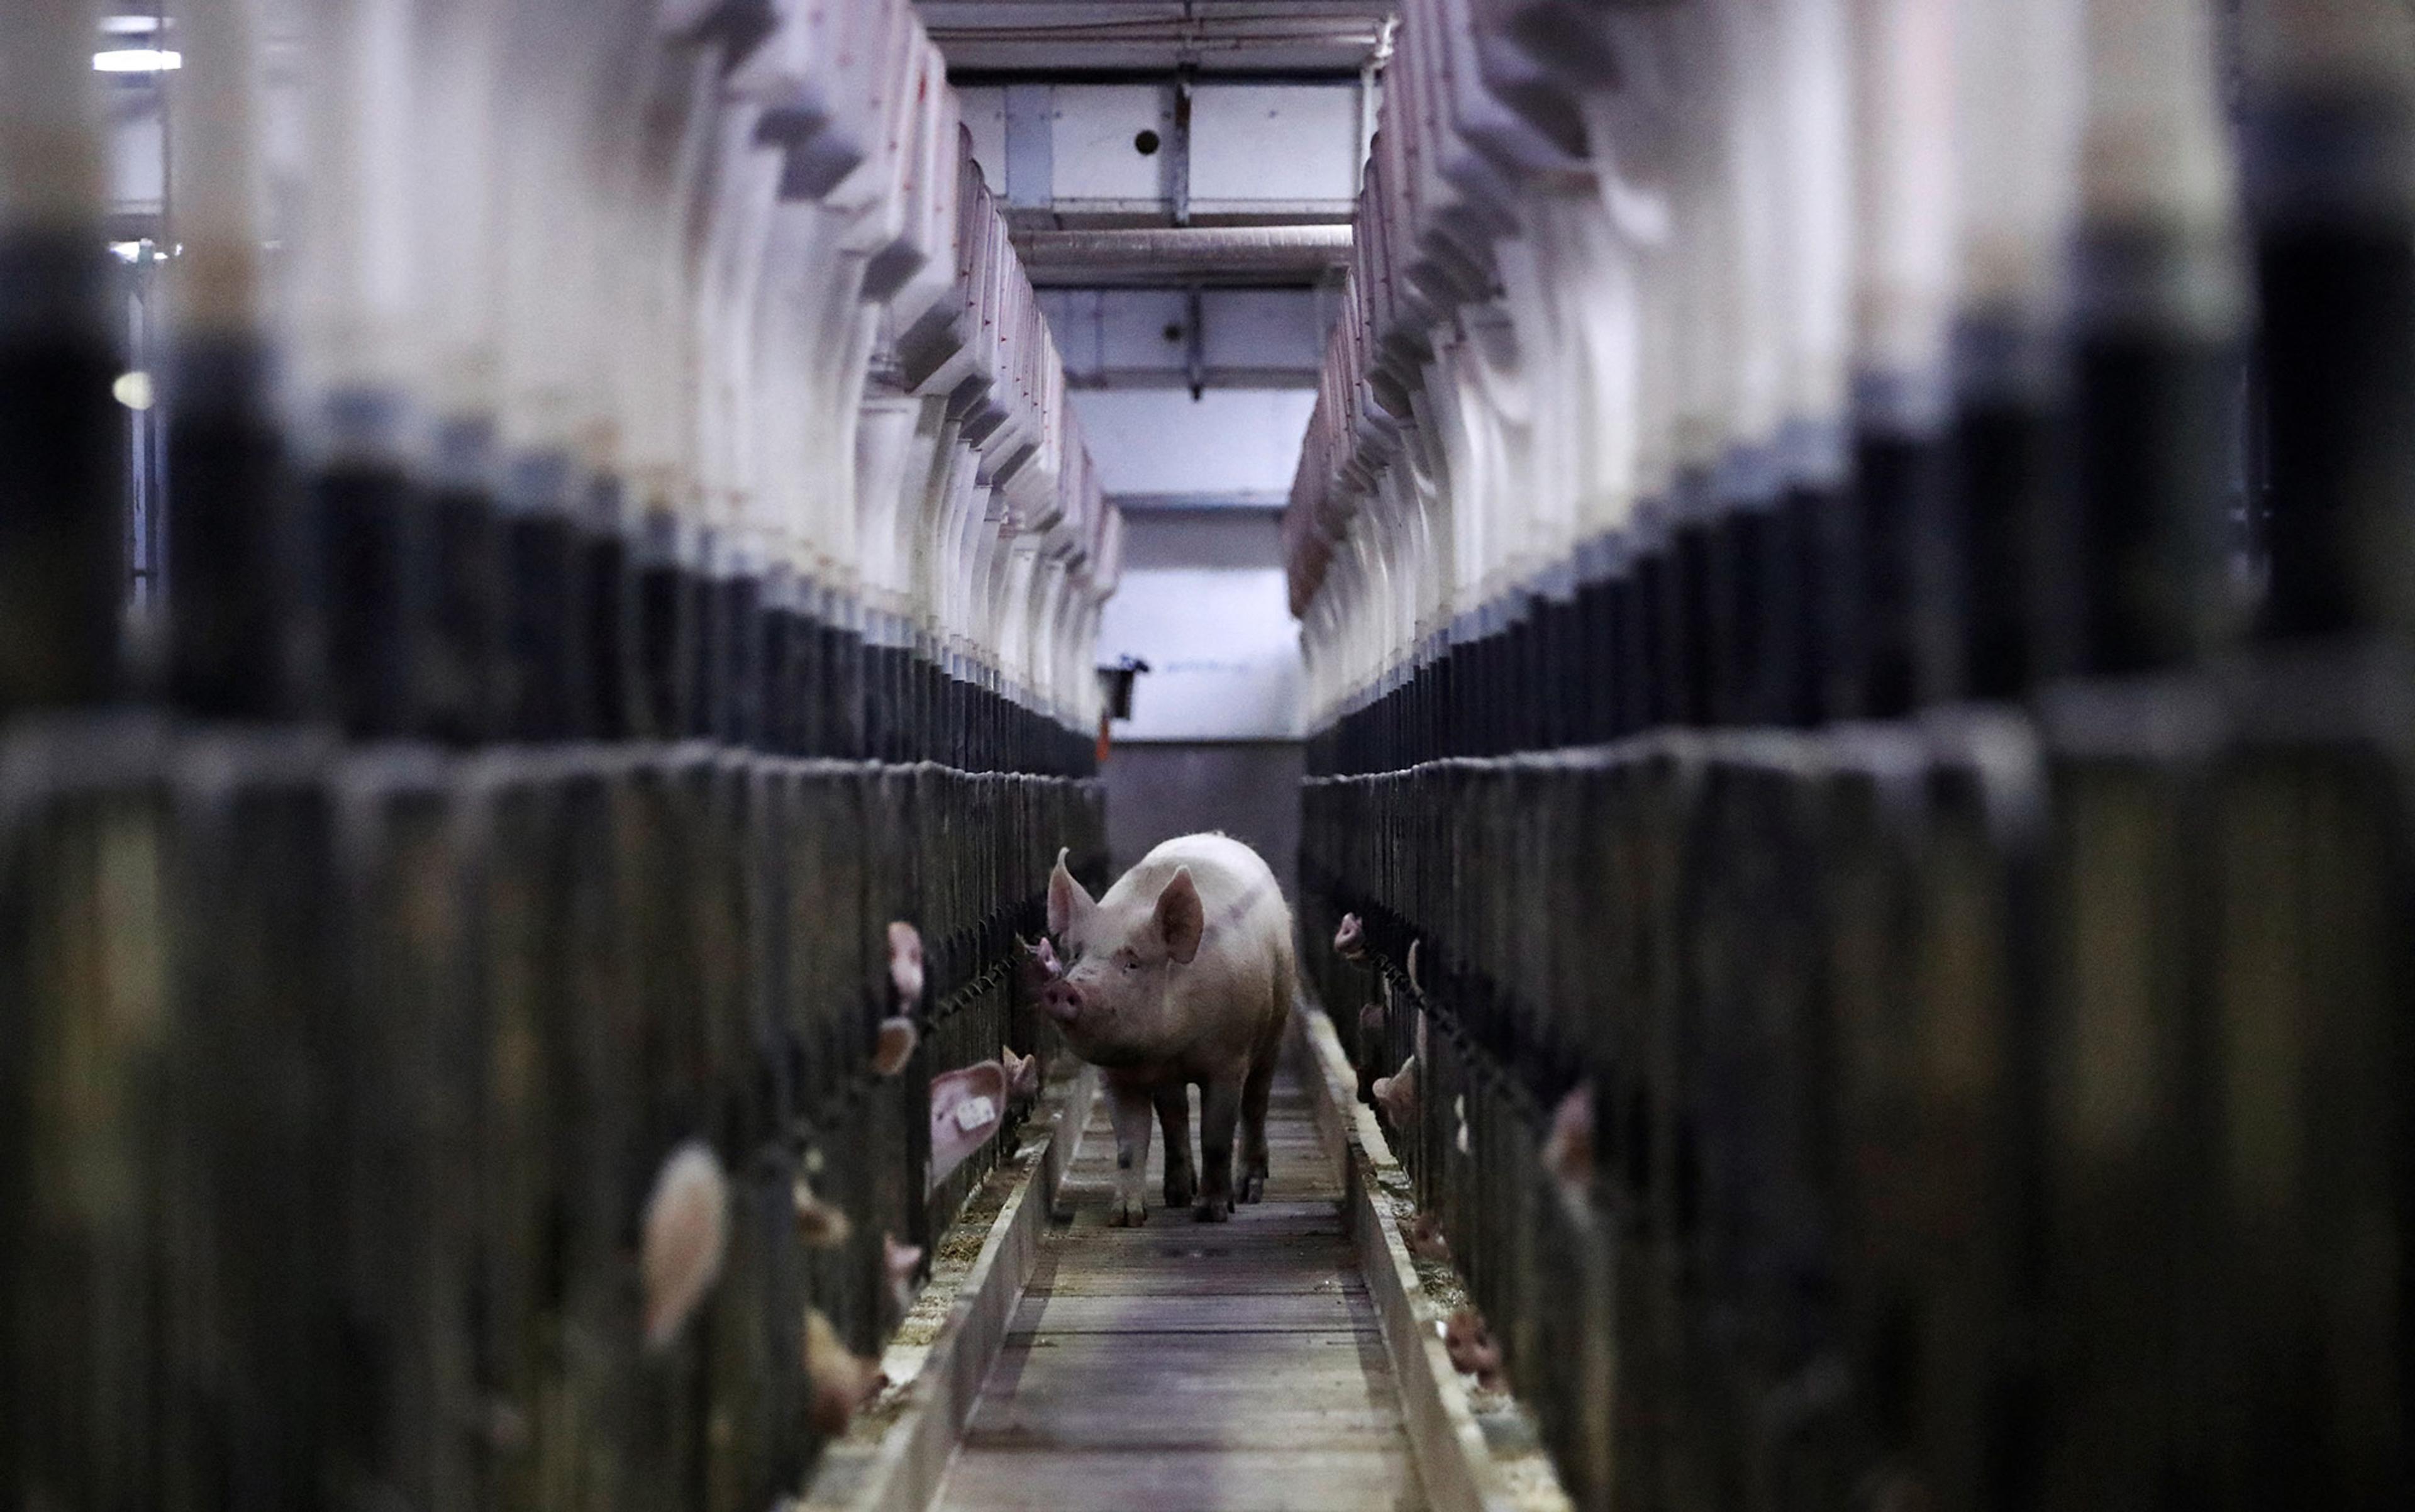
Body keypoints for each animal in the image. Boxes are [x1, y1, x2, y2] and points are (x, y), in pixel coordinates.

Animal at [1041, 834, 1295, 1224]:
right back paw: (1177, 1196)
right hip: (1171, 1082)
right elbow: (1130, 1144)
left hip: (1274, 1032)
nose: (1066, 987)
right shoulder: (1118, 1075)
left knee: (1255, 1104)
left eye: (1132, 962)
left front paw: (1211, 1213)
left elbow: (1216, 1136)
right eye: (1077, 955)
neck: (1170, 1047)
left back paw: (1247, 1193)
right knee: (1175, 1116)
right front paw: (1125, 1218)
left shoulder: (1229, 1060)